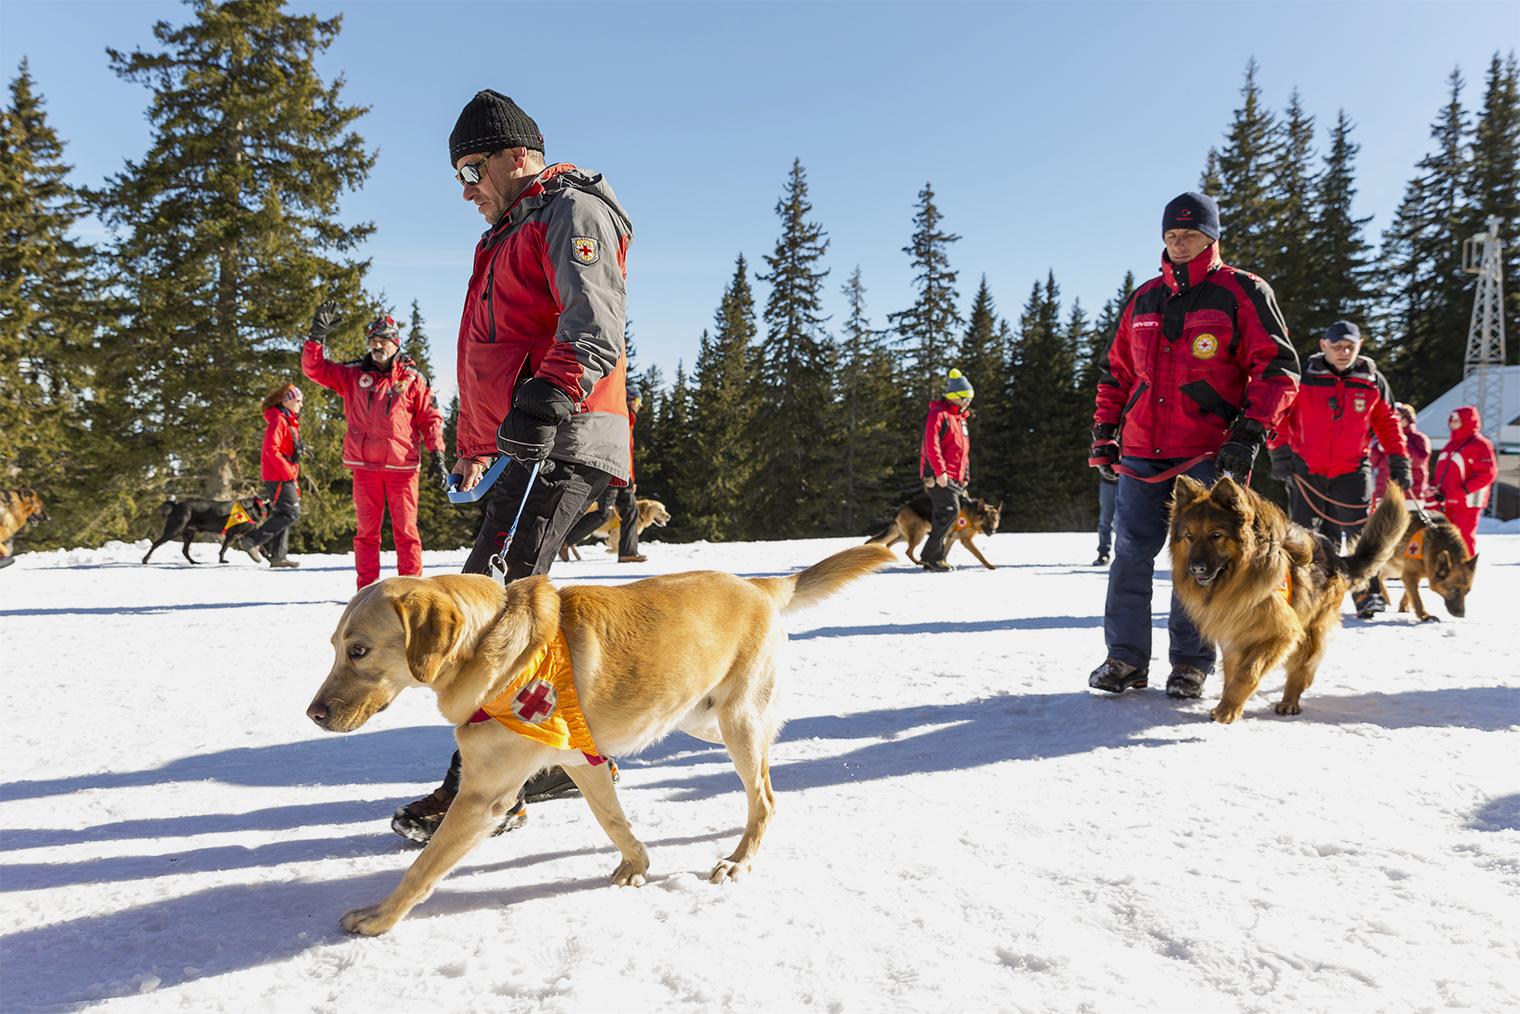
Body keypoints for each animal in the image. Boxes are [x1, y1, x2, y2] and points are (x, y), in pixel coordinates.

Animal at [142, 498, 273, 568]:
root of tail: (176, 506)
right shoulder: (232, 534)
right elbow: (224, 549)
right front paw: (222, 561)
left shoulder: (249, 534)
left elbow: (264, 550)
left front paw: (271, 559)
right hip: (174, 530)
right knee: (156, 544)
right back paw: (145, 560)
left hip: (189, 534)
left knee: (184, 550)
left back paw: (194, 562)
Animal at [302, 547, 887, 936]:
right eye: (333, 646)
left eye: (359, 650)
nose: (313, 714)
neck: (494, 648)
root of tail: (759, 585)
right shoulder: (582, 761)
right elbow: (614, 821)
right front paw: (637, 865)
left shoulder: (482, 797)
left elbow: (423, 869)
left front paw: (381, 916)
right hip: (702, 717)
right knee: (767, 782)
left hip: (736, 720)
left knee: (762, 795)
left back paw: (739, 860)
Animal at [863, 492, 1003, 571]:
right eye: (986, 520)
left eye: (995, 520)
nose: (993, 531)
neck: (972, 515)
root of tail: (900, 509)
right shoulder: (966, 541)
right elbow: (979, 554)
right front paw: (990, 566)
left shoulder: (950, 539)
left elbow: (944, 553)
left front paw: (941, 564)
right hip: (918, 535)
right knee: (907, 551)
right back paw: (918, 562)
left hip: (905, 535)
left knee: (889, 543)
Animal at [1167, 477, 1404, 726]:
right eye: (1189, 536)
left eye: (1215, 535)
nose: (1196, 568)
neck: (1239, 576)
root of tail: (1335, 558)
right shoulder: (1233, 638)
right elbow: (1233, 674)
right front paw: (1228, 704)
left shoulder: (1281, 634)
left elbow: (1247, 673)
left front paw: (1228, 710)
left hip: (1309, 632)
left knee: (1302, 670)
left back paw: (1290, 702)